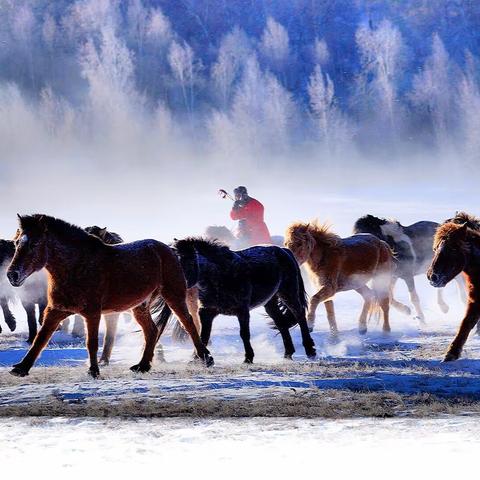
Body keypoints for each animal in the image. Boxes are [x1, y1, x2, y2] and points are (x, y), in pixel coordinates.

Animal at [6, 215, 213, 378]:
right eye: (16, 243)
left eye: (34, 243)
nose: (12, 275)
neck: (76, 266)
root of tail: (168, 249)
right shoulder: (55, 311)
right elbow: (40, 339)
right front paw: (21, 368)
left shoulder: (92, 313)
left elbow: (92, 342)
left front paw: (94, 371)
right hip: (140, 307)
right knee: (152, 331)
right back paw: (143, 366)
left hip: (173, 296)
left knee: (189, 323)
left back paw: (206, 358)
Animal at [156, 238, 316, 362]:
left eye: (185, 263)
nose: (172, 285)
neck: (221, 274)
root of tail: (284, 251)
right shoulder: (206, 312)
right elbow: (203, 335)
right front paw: (198, 358)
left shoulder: (242, 311)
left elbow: (244, 334)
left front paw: (248, 358)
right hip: (270, 303)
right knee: (281, 324)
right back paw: (288, 353)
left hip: (288, 293)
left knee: (300, 315)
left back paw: (310, 350)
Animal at [428, 221, 480, 360]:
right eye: (435, 249)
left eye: (453, 249)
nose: (432, 276)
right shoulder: (475, 300)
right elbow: (466, 323)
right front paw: (452, 353)